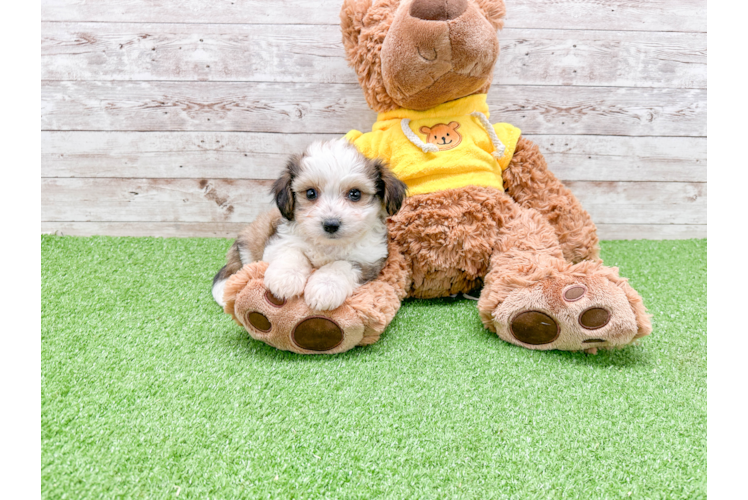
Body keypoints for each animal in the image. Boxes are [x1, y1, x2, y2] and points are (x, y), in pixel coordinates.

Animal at [210, 139, 410, 310]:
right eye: (310, 193)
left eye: (355, 194)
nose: (331, 224)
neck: (327, 245)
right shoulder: (279, 241)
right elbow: (292, 252)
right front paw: (285, 278)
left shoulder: (369, 259)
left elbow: (341, 265)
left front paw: (325, 287)